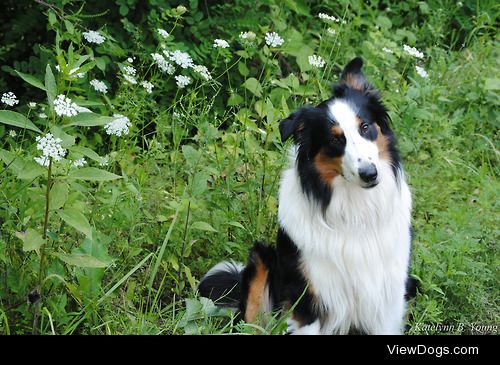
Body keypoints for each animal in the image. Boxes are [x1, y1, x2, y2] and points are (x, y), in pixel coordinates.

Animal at [198, 57, 414, 336]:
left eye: (365, 127)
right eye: (335, 140)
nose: (370, 174)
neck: (355, 210)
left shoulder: (386, 299)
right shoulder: (308, 302)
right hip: (261, 260)